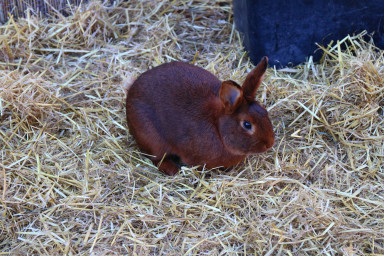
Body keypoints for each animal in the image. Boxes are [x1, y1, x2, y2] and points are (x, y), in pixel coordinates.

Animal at [125, 56, 272, 175]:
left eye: (265, 112)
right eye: (247, 124)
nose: (269, 144)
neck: (218, 127)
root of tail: (130, 94)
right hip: (152, 139)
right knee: (157, 159)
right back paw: (173, 170)